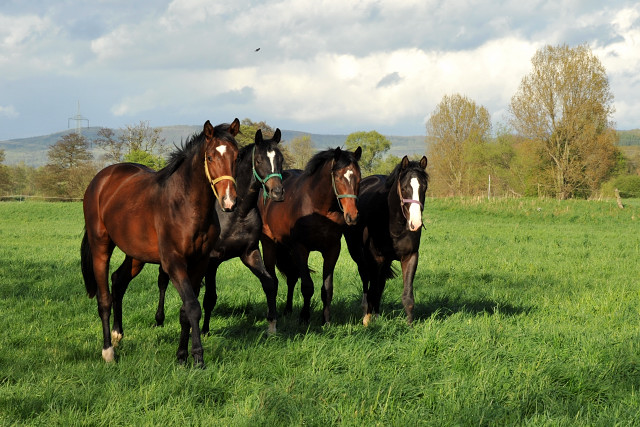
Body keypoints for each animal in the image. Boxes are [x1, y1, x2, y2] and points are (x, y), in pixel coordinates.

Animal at [80, 118, 240, 366]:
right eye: (210, 157)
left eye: (237, 156)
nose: (229, 201)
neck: (185, 205)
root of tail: (102, 179)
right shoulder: (174, 263)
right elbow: (193, 307)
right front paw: (198, 357)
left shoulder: (199, 263)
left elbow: (185, 312)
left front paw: (182, 356)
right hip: (101, 247)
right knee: (104, 298)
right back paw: (108, 351)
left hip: (135, 255)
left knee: (118, 280)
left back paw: (118, 335)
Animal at [154, 129, 284, 336]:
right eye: (259, 160)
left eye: (280, 159)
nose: (277, 192)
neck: (238, 212)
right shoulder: (212, 260)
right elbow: (209, 297)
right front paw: (205, 330)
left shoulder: (250, 253)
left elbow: (269, 284)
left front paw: (272, 326)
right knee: (163, 281)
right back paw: (159, 319)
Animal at [258, 147, 362, 324]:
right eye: (338, 177)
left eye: (359, 178)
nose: (352, 216)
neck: (319, 207)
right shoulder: (301, 248)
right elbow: (307, 286)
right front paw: (304, 318)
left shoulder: (332, 249)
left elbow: (327, 288)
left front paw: (326, 320)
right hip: (269, 244)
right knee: (272, 280)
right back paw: (272, 313)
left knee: (291, 278)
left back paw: (288, 310)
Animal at [342, 155, 428, 326]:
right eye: (404, 188)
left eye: (424, 187)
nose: (415, 223)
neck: (393, 224)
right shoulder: (375, 259)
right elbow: (372, 291)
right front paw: (367, 322)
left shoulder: (410, 256)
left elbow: (407, 296)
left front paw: (410, 325)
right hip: (361, 258)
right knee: (367, 283)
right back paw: (367, 313)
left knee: (379, 285)